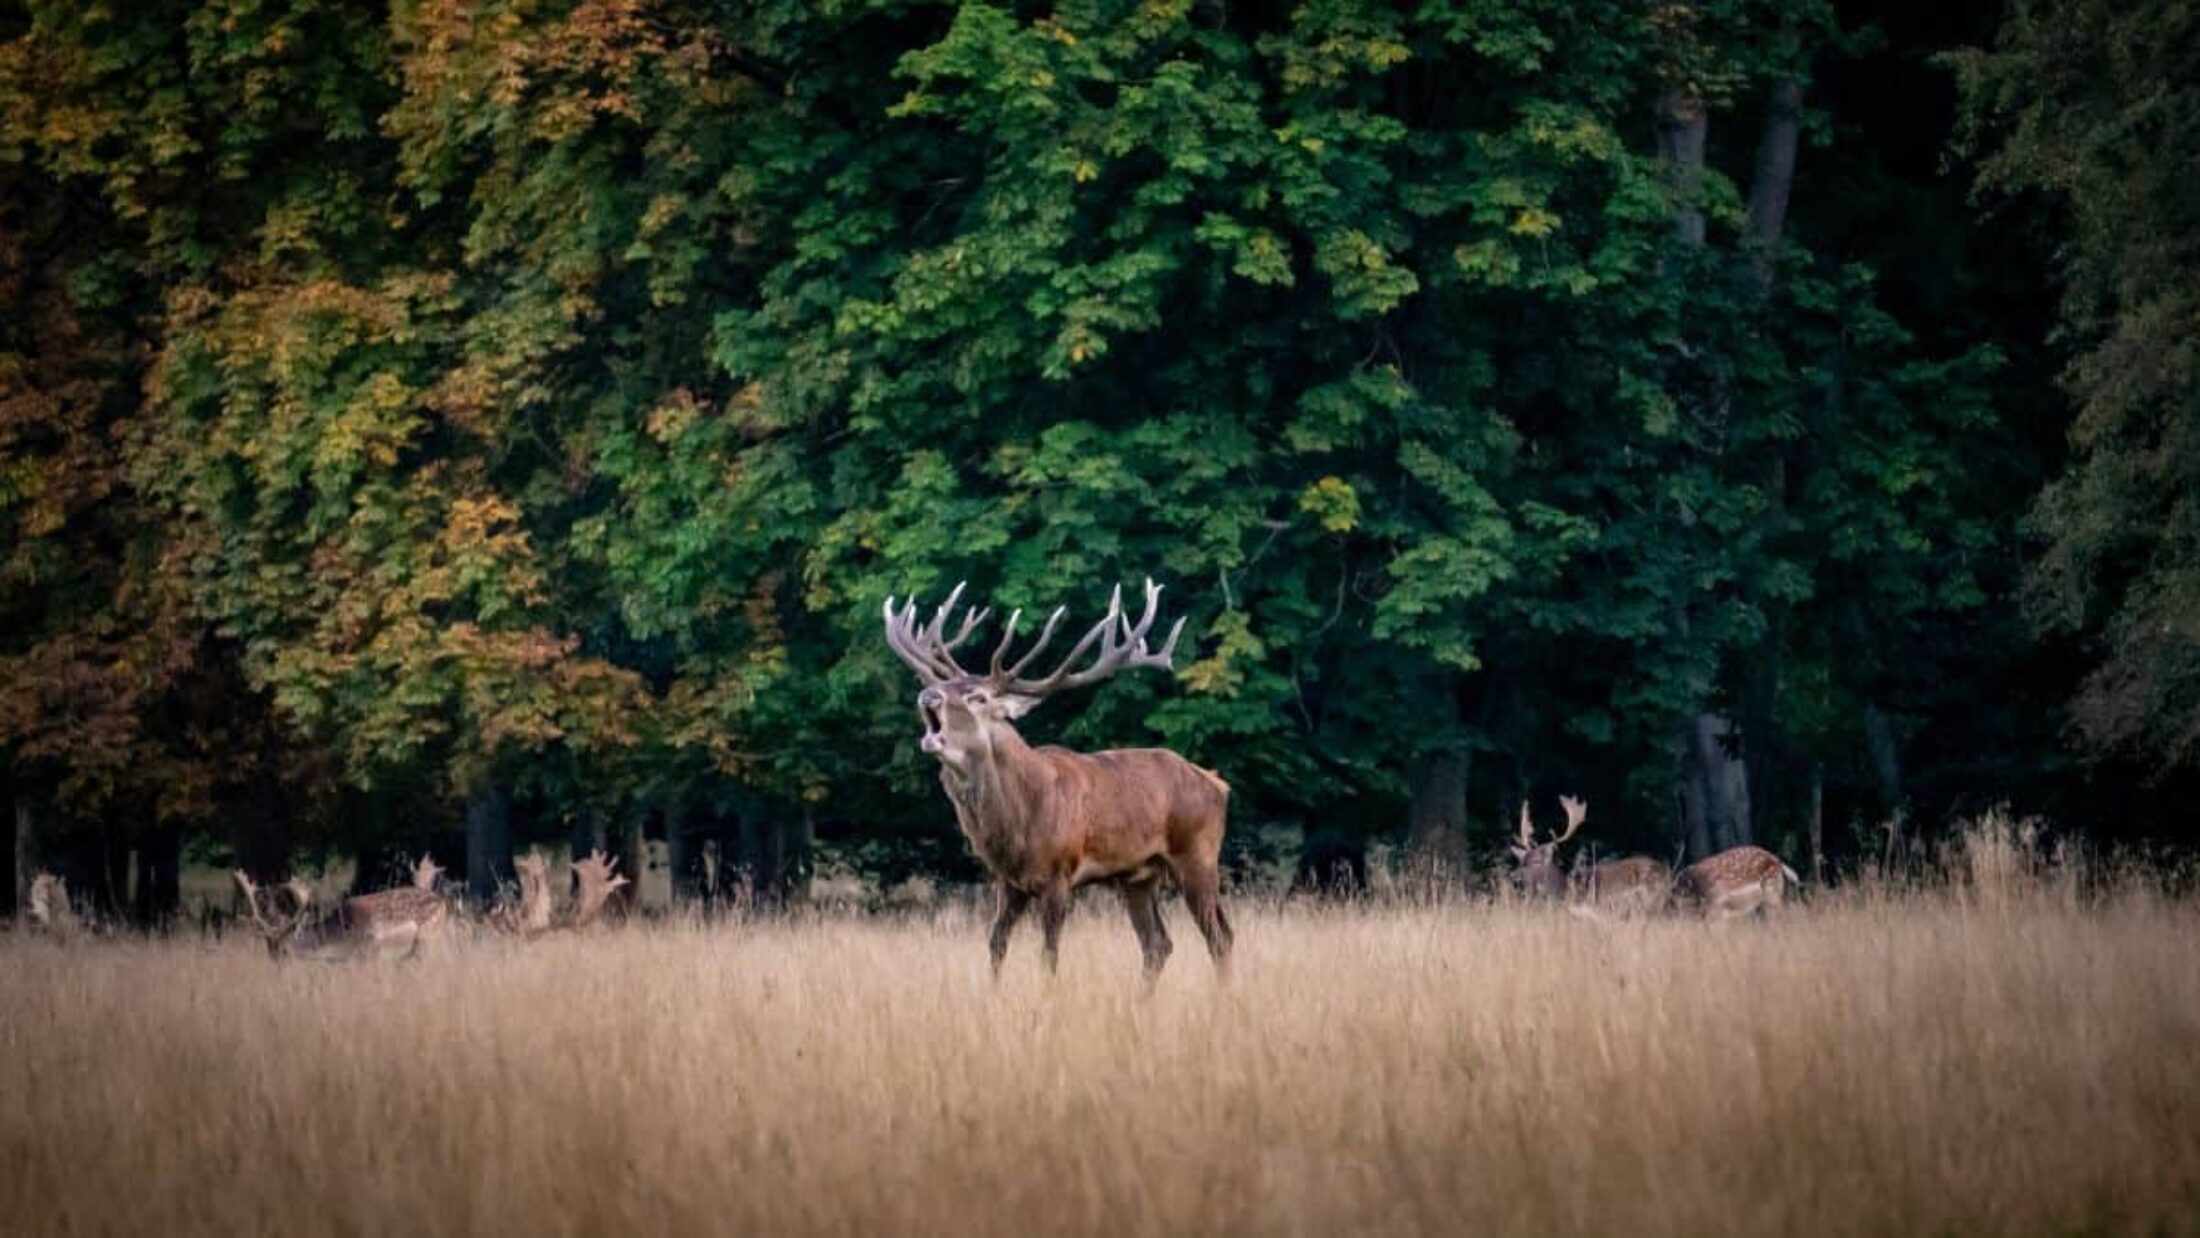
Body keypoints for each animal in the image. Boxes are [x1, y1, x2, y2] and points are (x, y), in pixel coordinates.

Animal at [232, 857, 451, 963]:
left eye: (286, 950)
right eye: (268, 948)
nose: (277, 966)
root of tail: (442, 902)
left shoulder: (369, 956)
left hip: (430, 941)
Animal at [893, 576, 1240, 985]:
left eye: (977, 697)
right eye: (945, 686)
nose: (927, 695)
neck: (1018, 824)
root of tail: (1218, 784)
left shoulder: (1059, 873)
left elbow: (1049, 954)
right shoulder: (1007, 881)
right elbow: (996, 944)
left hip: (1198, 854)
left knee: (1220, 937)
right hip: (1138, 875)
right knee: (1158, 943)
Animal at [1504, 800, 1672, 914]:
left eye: (1537, 862)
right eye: (1521, 861)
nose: (1515, 877)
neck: (1564, 889)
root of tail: (1666, 871)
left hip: (1651, 899)